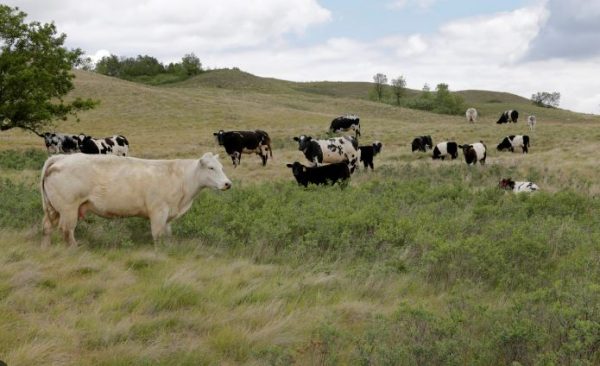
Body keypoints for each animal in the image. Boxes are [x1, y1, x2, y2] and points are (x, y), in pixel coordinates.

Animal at [40, 150, 232, 247]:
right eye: (211, 168)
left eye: (222, 167)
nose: (227, 184)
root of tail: (61, 157)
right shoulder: (158, 211)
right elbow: (157, 235)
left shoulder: (168, 216)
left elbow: (167, 235)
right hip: (68, 208)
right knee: (67, 231)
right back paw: (74, 249)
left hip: (53, 208)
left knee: (47, 227)